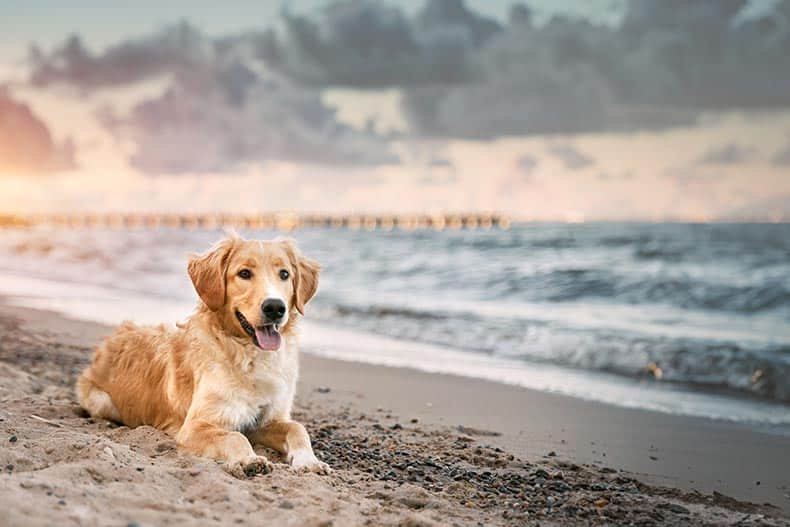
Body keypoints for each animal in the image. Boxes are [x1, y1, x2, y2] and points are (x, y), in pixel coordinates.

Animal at [76, 237, 330, 476]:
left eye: (284, 274)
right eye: (244, 273)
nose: (275, 307)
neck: (250, 356)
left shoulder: (265, 420)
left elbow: (297, 428)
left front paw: (309, 461)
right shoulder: (195, 427)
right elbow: (235, 437)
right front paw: (249, 460)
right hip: (102, 401)